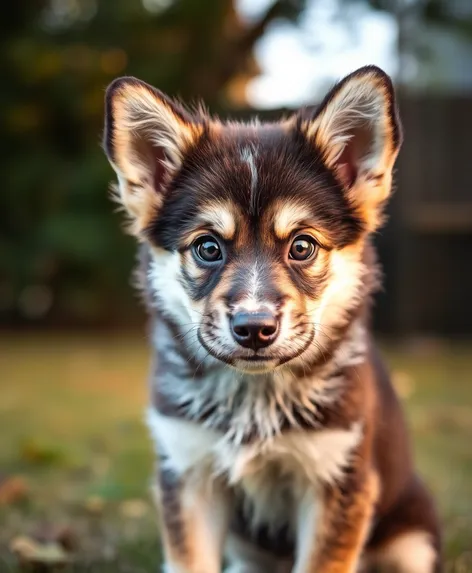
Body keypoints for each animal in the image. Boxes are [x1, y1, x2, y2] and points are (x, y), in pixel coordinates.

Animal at [104, 67, 442, 572]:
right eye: (208, 247)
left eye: (301, 246)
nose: (254, 328)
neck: (255, 397)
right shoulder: (188, 471)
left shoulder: (337, 480)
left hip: (412, 540)